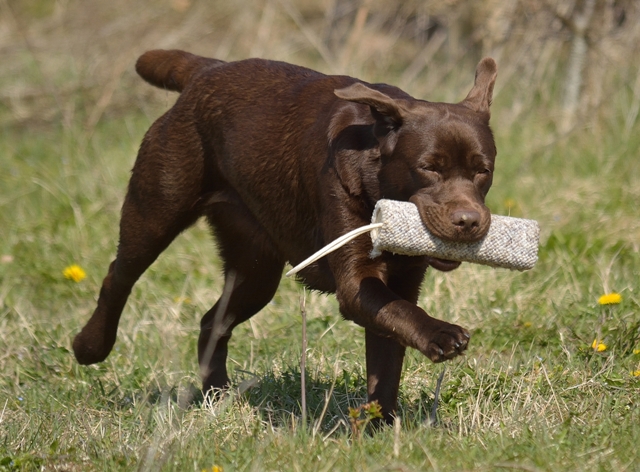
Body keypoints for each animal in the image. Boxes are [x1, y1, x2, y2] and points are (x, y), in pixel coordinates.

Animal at [72, 49, 498, 422]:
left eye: (483, 170)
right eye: (429, 167)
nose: (468, 221)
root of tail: (206, 70)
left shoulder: (402, 282)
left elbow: (387, 356)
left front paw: (379, 427)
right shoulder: (357, 280)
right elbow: (400, 313)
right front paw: (442, 334)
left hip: (255, 269)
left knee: (212, 322)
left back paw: (217, 396)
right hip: (156, 209)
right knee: (119, 275)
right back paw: (89, 346)